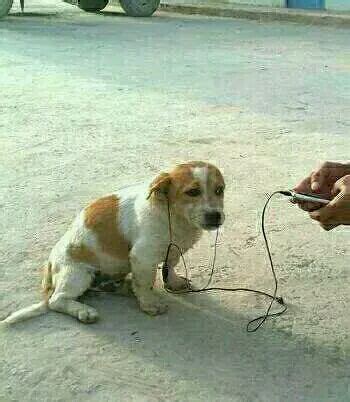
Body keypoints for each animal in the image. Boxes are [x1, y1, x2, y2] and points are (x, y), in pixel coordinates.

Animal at [1, 159, 226, 324]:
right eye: (192, 192)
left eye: (219, 190)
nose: (215, 216)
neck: (173, 216)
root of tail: (49, 265)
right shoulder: (142, 257)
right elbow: (145, 283)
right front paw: (149, 304)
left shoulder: (173, 249)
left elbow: (169, 267)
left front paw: (174, 282)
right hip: (78, 274)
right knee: (57, 301)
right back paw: (84, 311)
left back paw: (122, 287)